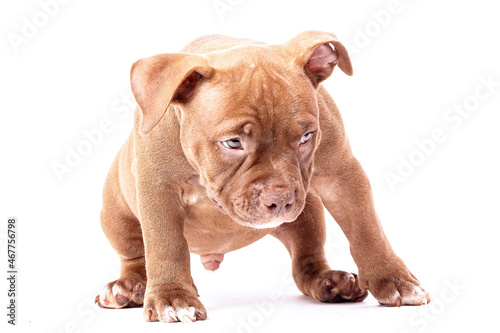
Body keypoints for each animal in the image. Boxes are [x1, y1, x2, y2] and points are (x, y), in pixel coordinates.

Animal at [96, 30, 430, 322]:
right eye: (233, 142)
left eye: (306, 137)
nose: (280, 200)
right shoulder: (158, 191)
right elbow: (166, 245)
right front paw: (173, 298)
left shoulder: (342, 175)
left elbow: (366, 228)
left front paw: (394, 279)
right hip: (116, 215)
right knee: (135, 256)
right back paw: (128, 287)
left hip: (308, 215)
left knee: (305, 260)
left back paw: (331, 282)